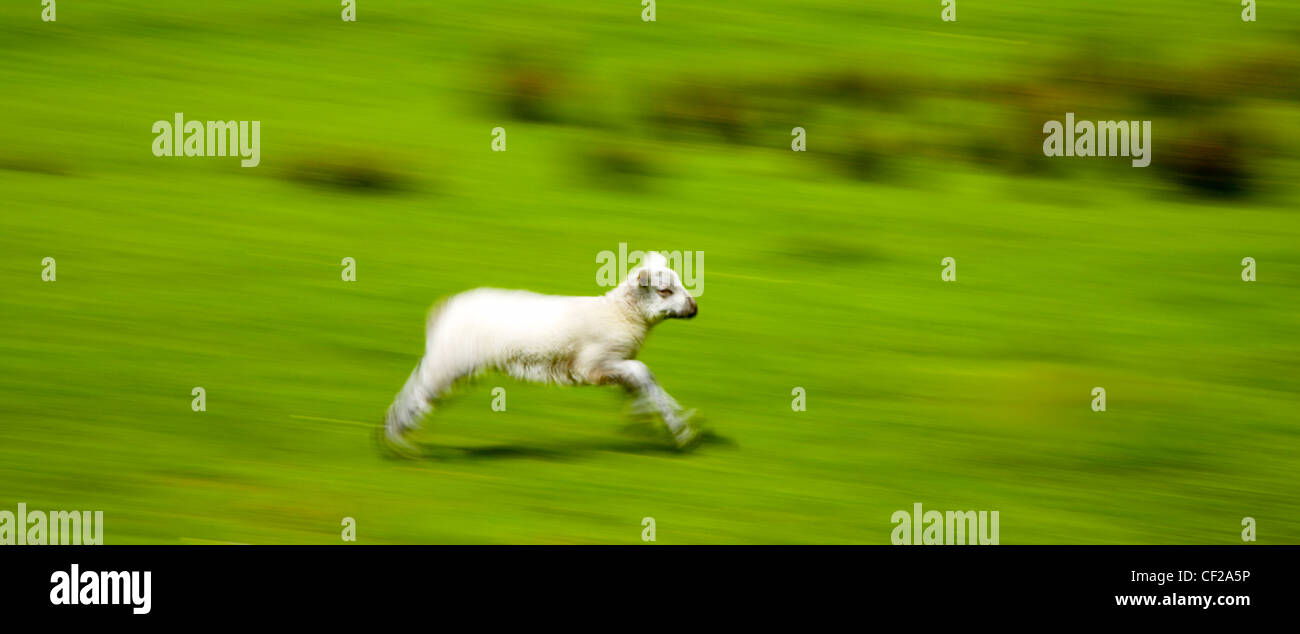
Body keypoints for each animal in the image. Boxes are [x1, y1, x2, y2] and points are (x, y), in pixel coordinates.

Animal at [384, 252, 702, 449]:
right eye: (664, 291)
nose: (695, 308)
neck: (620, 314)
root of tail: (445, 310)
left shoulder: (614, 365)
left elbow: (638, 384)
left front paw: (650, 421)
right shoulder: (593, 365)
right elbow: (644, 374)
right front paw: (680, 428)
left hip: (451, 360)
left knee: (419, 383)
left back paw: (394, 434)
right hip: (451, 360)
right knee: (420, 389)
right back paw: (397, 438)